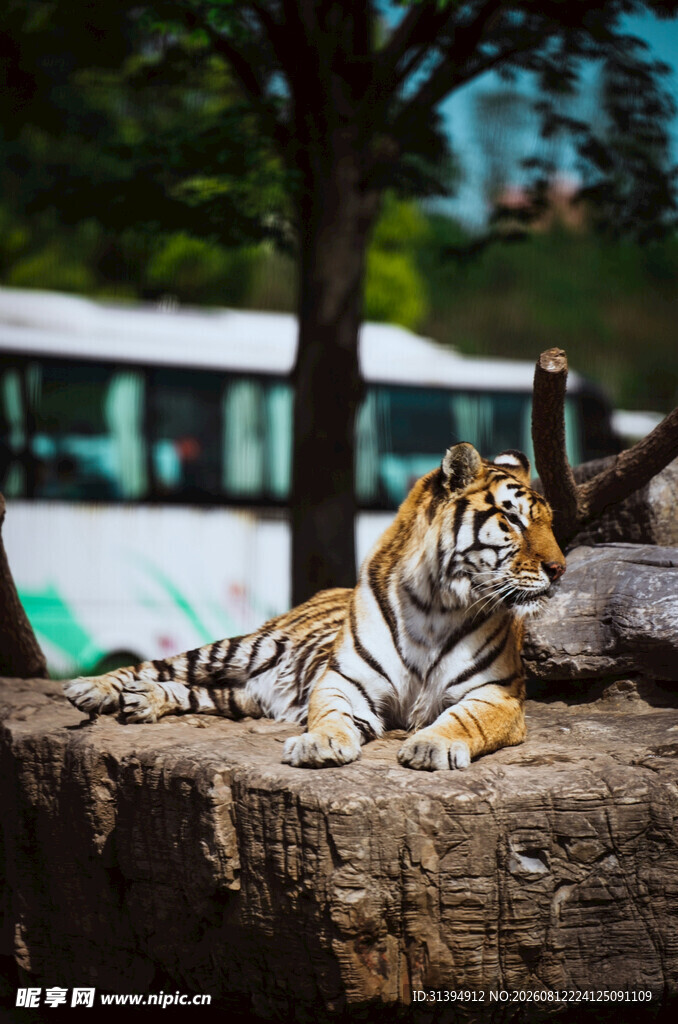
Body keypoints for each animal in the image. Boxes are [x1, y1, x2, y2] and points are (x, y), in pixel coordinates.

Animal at [64, 442, 565, 771]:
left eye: (548, 523)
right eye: (512, 519)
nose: (559, 569)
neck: (436, 605)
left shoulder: (496, 692)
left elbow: (464, 719)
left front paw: (430, 746)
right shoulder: (345, 680)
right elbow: (332, 715)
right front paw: (319, 743)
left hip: (241, 696)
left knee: (194, 693)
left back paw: (143, 702)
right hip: (241, 648)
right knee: (154, 666)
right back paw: (92, 689)